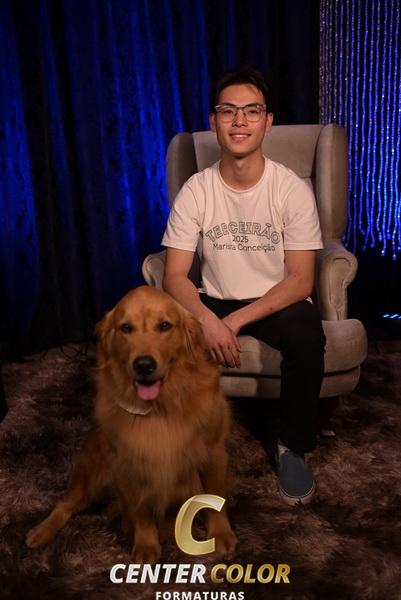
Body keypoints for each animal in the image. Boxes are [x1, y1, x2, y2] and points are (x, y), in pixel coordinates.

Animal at [26, 286, 236, 563]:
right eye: (126, 328)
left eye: (165, 325)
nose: (144, 365)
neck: (161, 407)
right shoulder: (130, 460)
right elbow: (141, 511)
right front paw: (146, 544)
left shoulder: (213, 451)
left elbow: (215, 497)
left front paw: (220, 532)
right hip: (89, 474)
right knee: (65, 504)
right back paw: (41, 531)